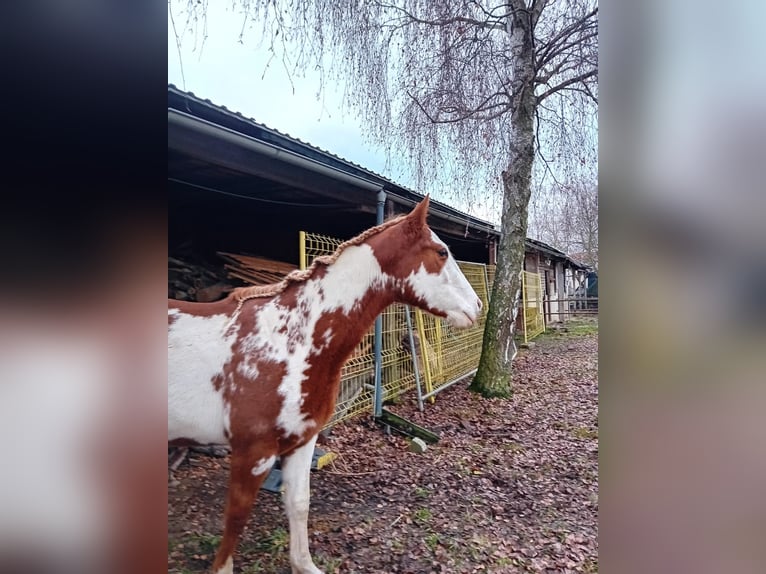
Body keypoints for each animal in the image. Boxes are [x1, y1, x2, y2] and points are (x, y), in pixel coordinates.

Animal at [168, 196, 483, 574]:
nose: (477, 306)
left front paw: (304, 564)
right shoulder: (253, 452)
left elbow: (299, 503)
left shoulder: (302, 441)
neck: (288, 339)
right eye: (441, 252)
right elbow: (235, 519)